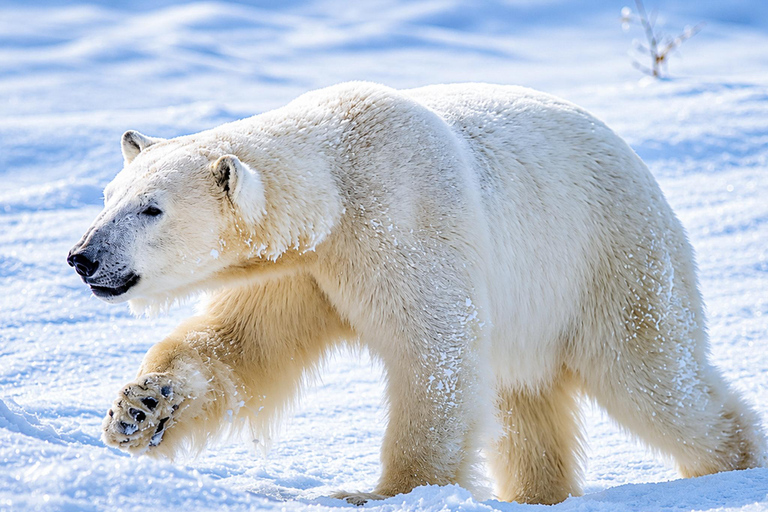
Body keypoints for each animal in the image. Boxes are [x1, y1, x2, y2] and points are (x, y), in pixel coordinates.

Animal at [67, 82, 765, 505]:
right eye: (107, 196)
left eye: (152, 209)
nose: (82, 257)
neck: (338, 180)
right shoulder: (303, 270)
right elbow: (242, 344)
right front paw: (138, 410)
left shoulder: (402, 221)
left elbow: (435, 354)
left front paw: (383, 494)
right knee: (525, 398)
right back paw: (538, 492)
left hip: (608, 257)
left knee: (653, 378)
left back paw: (730, 463)